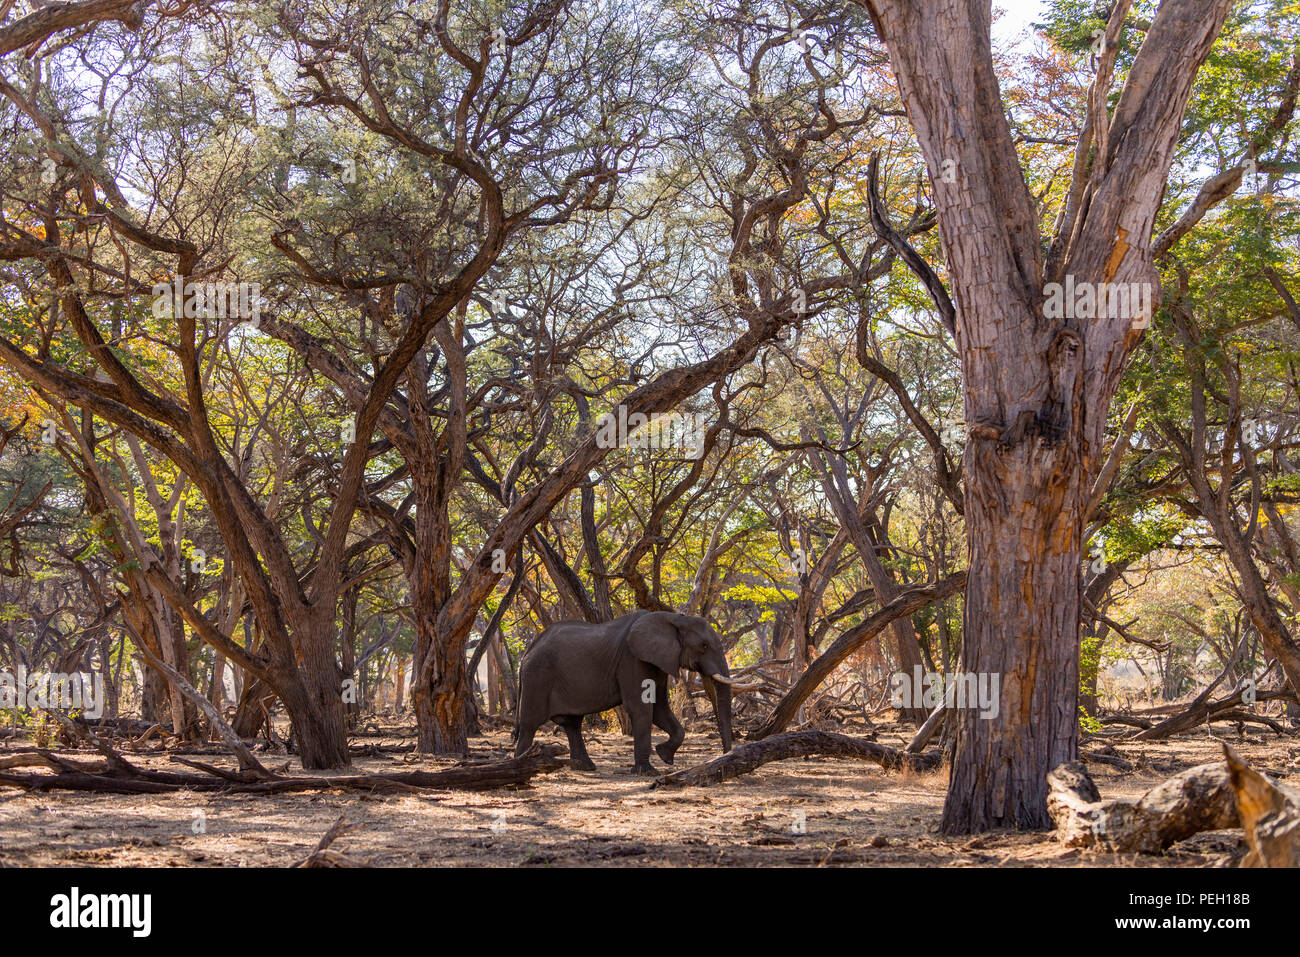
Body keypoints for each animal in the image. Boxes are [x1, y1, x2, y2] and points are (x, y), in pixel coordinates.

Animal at [512, 608, 738, 774]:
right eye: (704, 645)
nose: (724, 755)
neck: (673, 618)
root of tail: (528, 651)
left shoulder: (657, 661)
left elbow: (659, 709)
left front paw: (664, 756)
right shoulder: (632, 659)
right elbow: (642, 708)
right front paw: (648, 772)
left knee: (572, 724)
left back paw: (585, 767)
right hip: (537, 677)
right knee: (530, 725)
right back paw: (522, 767)